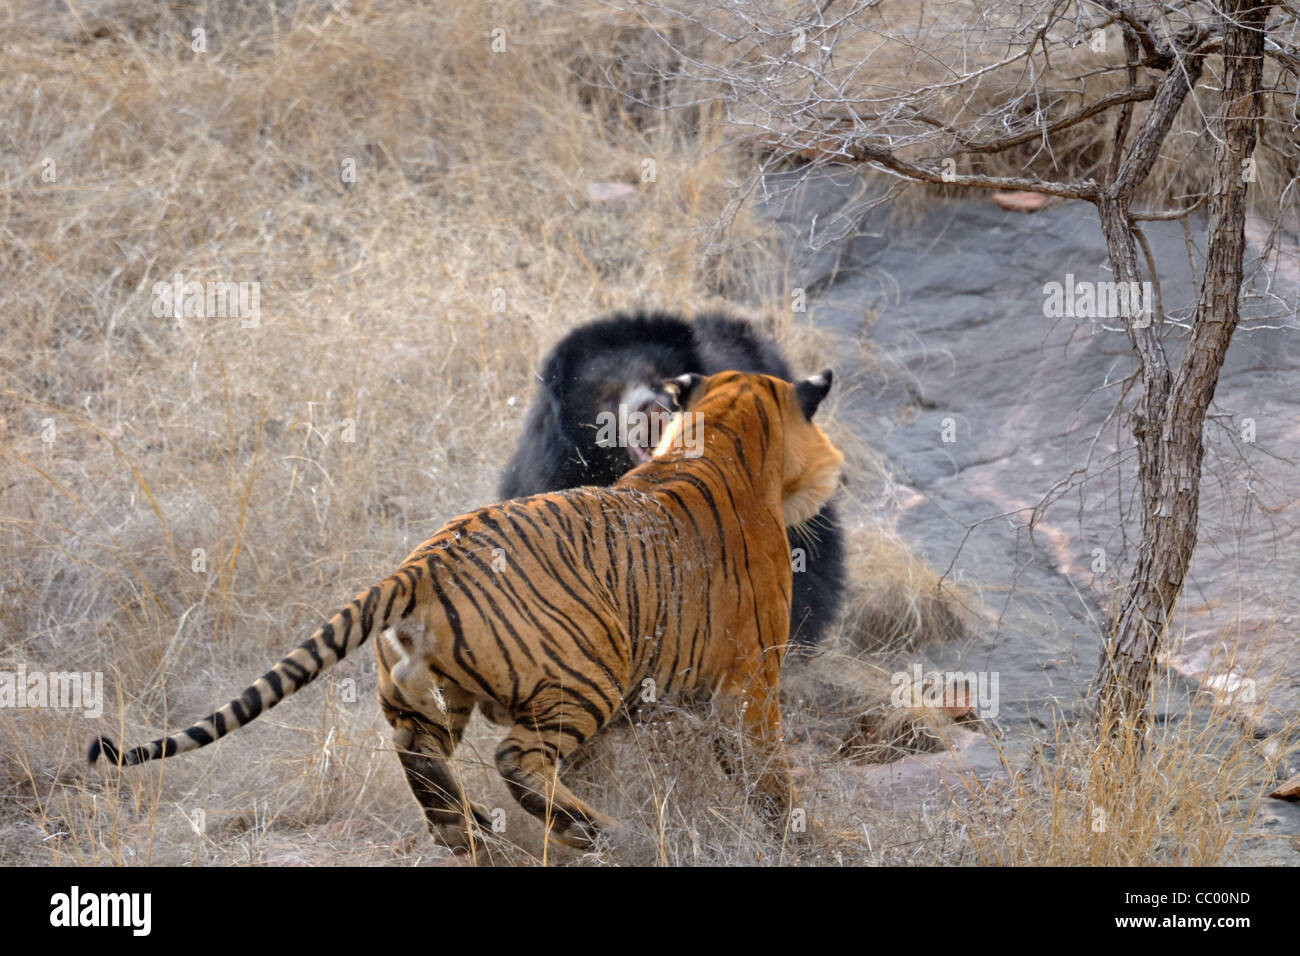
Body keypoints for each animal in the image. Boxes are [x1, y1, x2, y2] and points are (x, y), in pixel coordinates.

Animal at [89, 369, 844, 851]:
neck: (722, 434)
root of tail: (424, 560)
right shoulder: (751, 685)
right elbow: (770, 776)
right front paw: (802, 836)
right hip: (585, 675)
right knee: (518, 759)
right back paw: (590, 831)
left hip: (425, 697)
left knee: (423, 758)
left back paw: (471, 834)